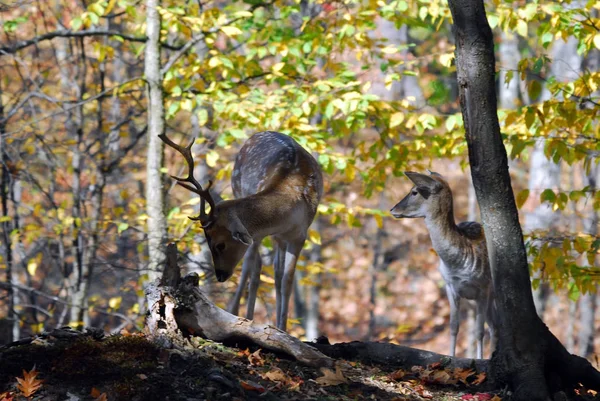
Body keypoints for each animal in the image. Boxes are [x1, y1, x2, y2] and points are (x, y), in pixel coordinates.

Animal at [157, 131, 322, 332]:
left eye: (220, 244)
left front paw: (283, 327)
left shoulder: (299, 235)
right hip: (238, 190)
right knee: (254, 268)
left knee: (275, 271)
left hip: (276, 238)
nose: (220, 275)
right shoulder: (258, 234)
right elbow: (253, 269)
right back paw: (244, 315)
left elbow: (286, 281)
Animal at [390, 170, 496, 358]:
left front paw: (479, 359)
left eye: (414, 191)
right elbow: (454, 327)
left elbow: (478, 331)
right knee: (494, 324)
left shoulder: (483, 287)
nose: (392, 209)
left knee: (493, 326)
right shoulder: (450, 285)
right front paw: (451, 356)